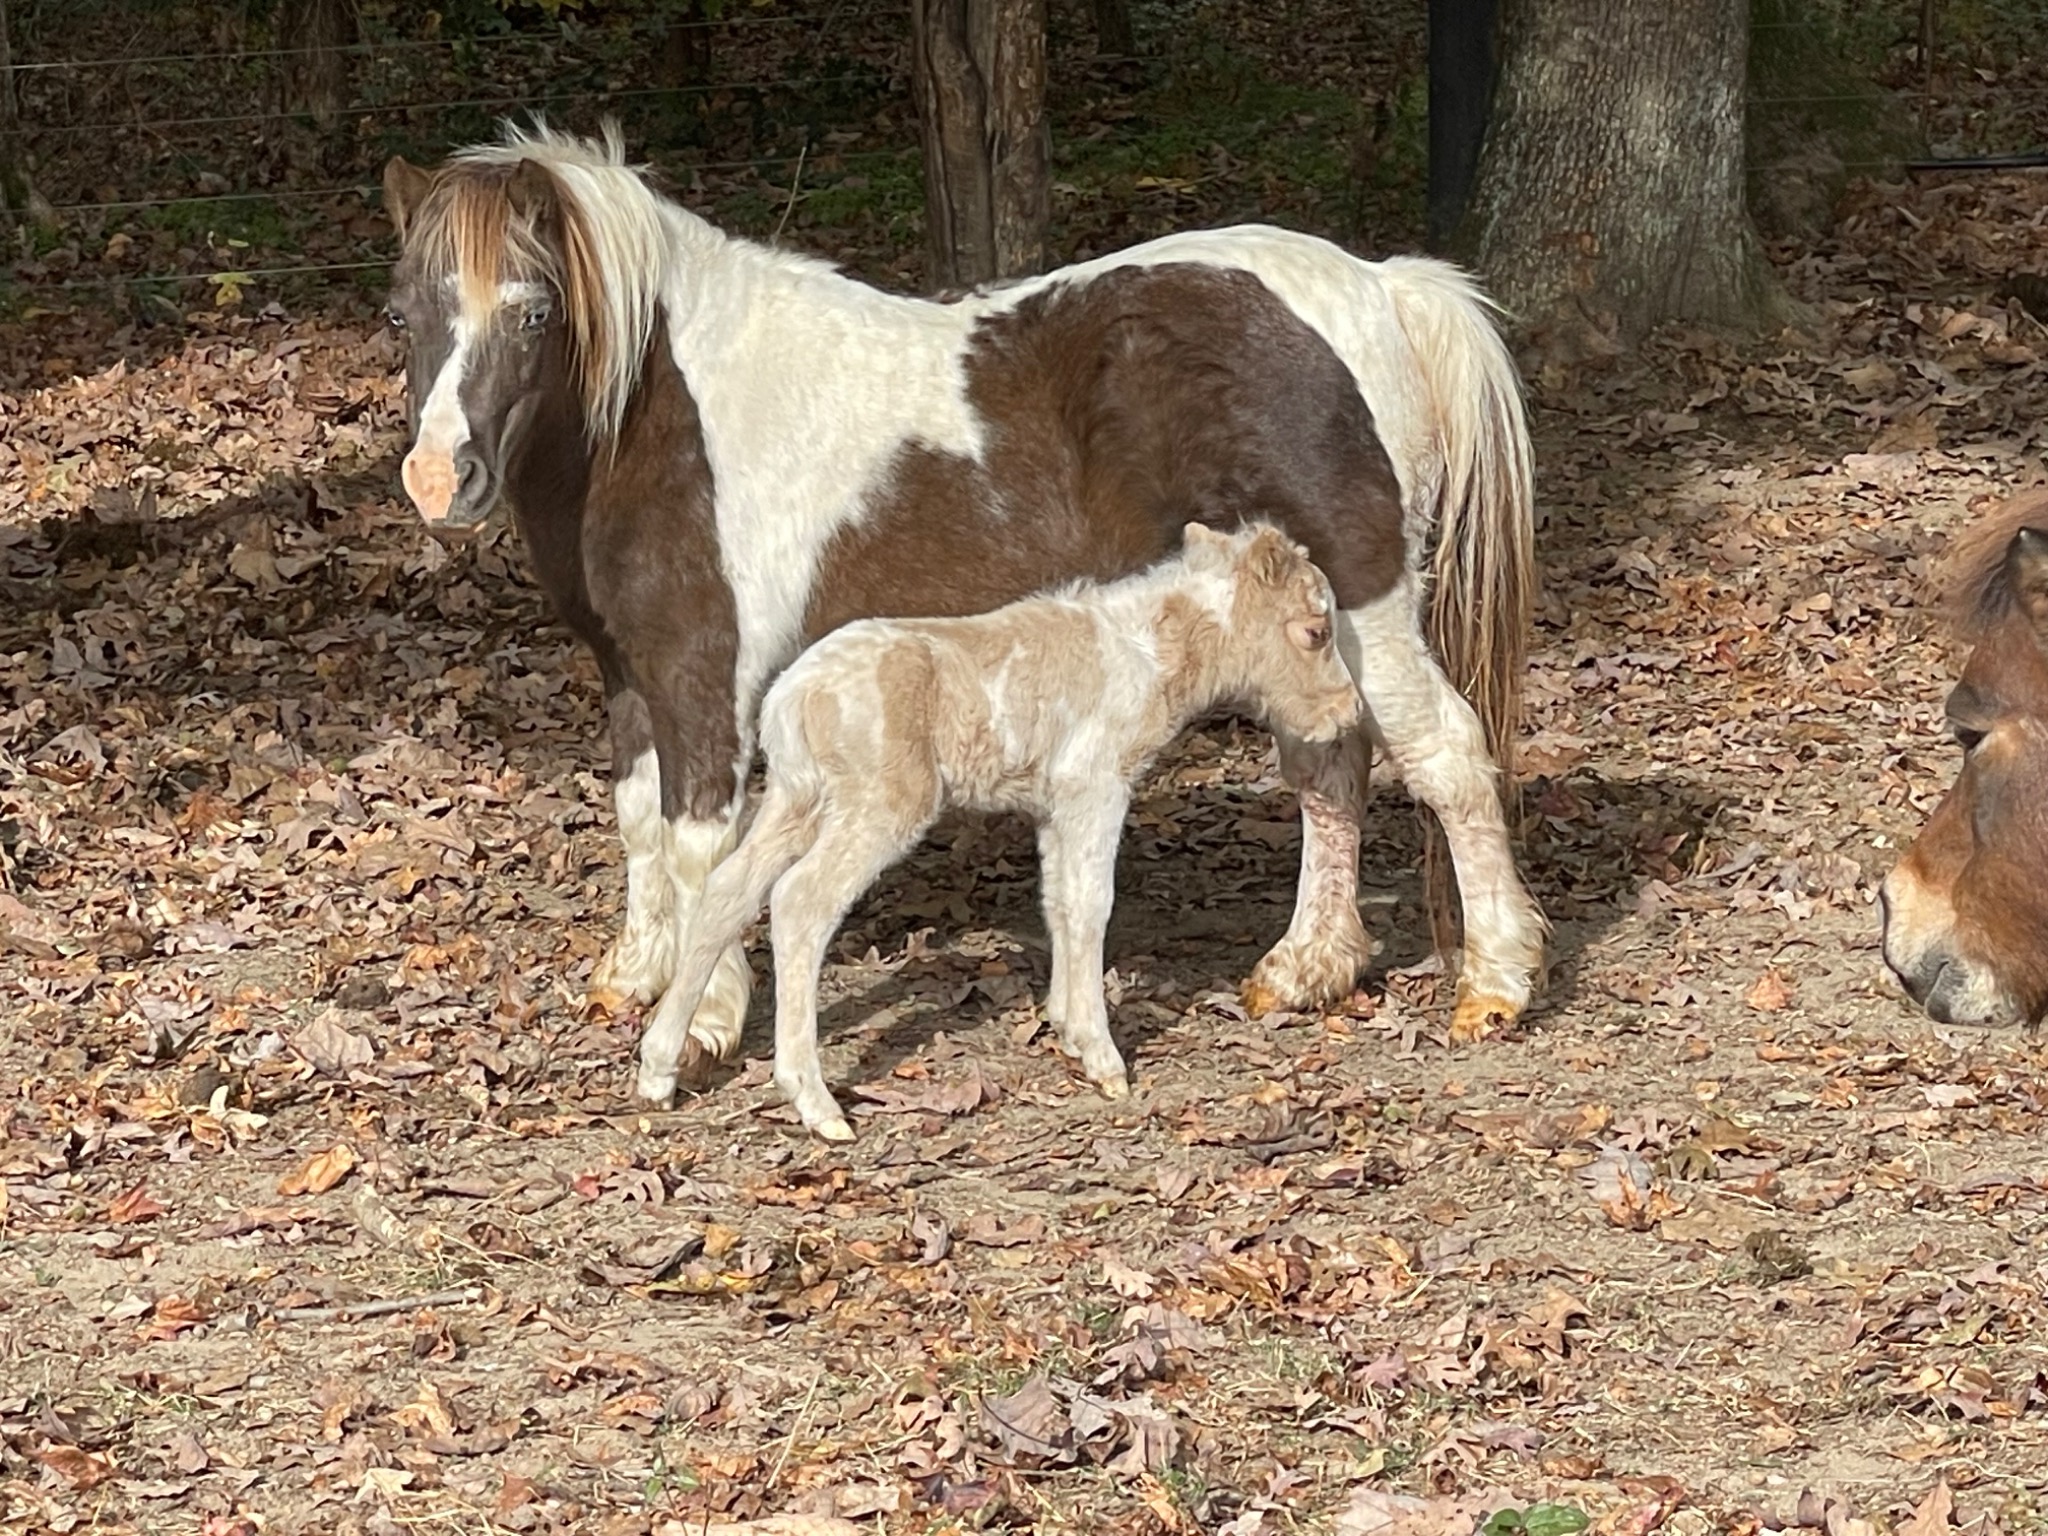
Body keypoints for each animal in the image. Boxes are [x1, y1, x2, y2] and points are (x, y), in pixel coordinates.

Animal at [377, 123, 1547, 1084]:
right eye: (403, 311)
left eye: (532, 311)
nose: (439, 481)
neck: (662, 413)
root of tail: (1380, 288)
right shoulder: (626, 671)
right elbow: (637, 823)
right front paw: (636, 975)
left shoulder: (703, 676)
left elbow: (702, 846)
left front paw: (703, 1021)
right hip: (1295, 625)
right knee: (1328, 762)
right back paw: (1305, 969)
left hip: (1365, 607)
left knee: (1443, 754)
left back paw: (1493, 983)